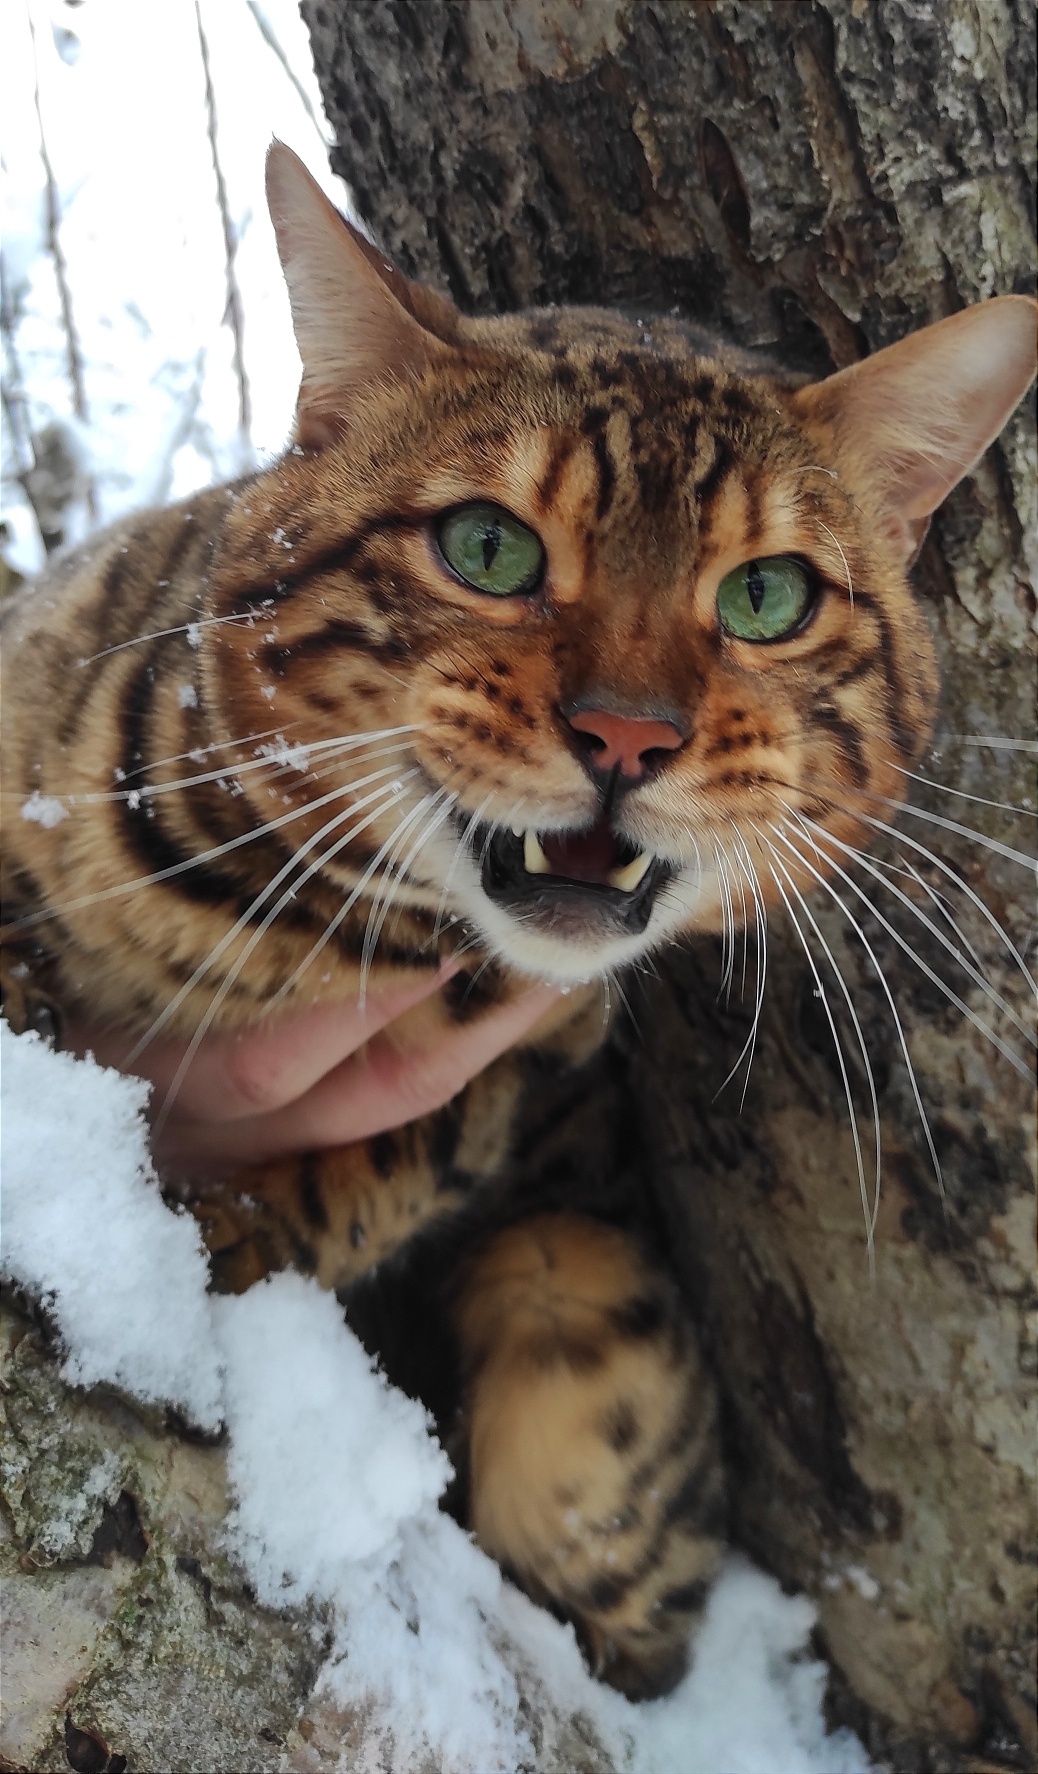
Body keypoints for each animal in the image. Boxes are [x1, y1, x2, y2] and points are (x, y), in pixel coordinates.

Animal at [4, 145, 1029, 1695]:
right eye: (485, 546)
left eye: (768, 594)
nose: (627, 733)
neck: (299, 935)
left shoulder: (520, 1070)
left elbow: (384, 1163)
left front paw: (219, 1223)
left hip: (590, 1333)